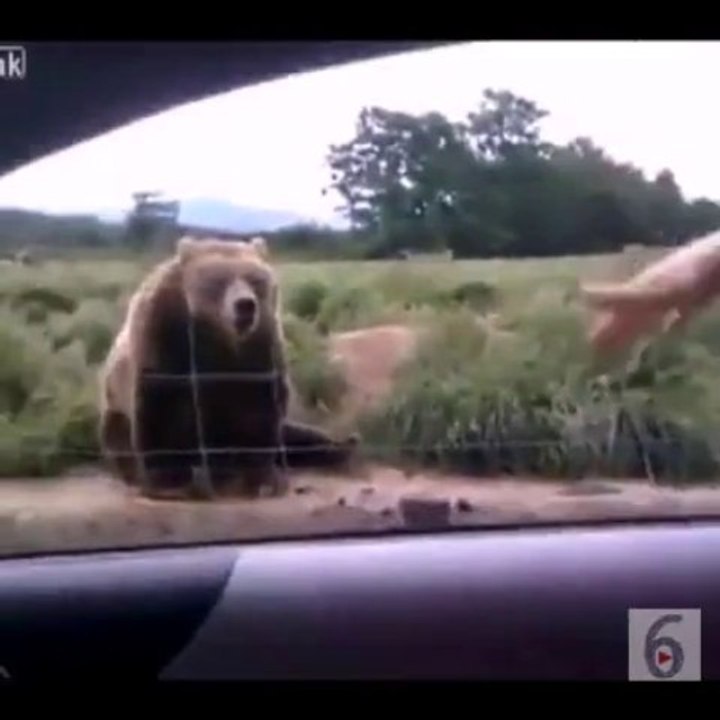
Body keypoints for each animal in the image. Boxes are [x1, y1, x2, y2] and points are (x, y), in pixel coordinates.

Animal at [98, 235, 359, 500]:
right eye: (218, 280)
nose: (245, 305)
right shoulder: (164, 337)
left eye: (255, 280)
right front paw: (169, 480)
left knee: (298, 435)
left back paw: (344, 444)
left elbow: (259, 410)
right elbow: (160, 406)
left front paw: (261, 478)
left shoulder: (258, 348)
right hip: (115, 416)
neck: (219, 337)